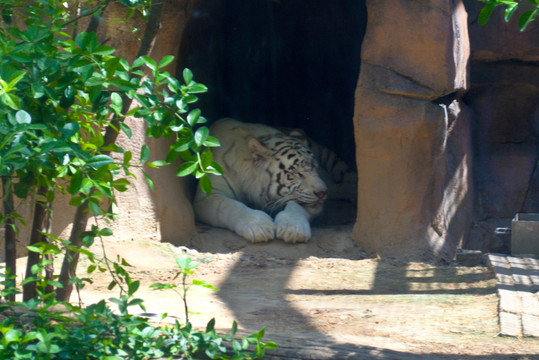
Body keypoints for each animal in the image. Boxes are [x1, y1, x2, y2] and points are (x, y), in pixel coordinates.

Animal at [192, 119, 356, 243]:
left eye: (315, 167)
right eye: (296, 173)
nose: (322, 192)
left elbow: (296, 206)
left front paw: (293, 229)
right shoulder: (209, 194)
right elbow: (229, 206)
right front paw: (259, 226)